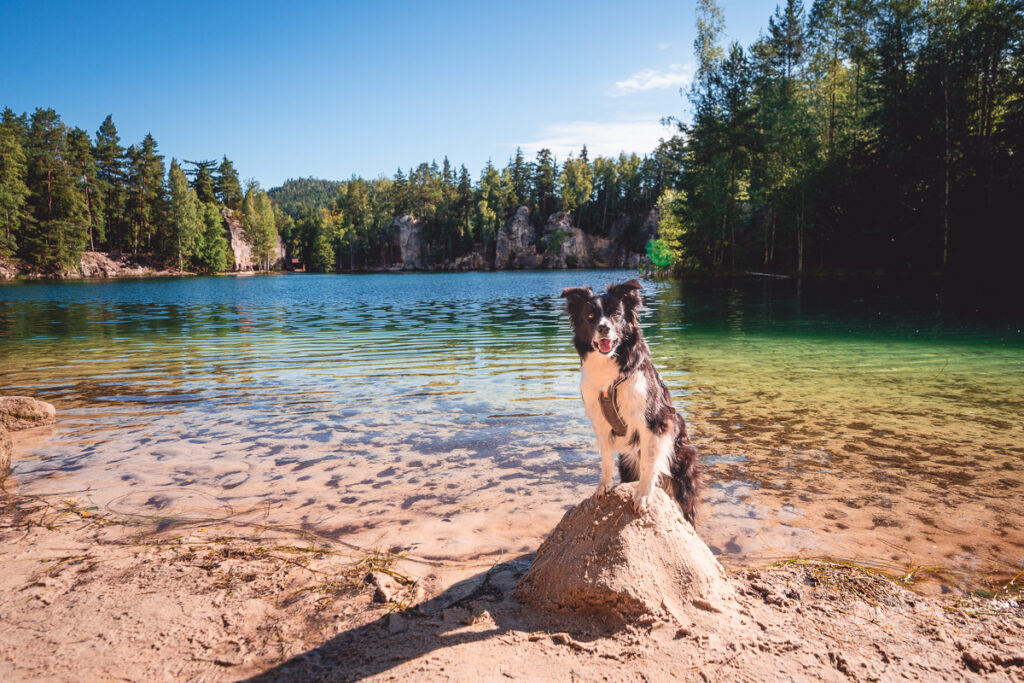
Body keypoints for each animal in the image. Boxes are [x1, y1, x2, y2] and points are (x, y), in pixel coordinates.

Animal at [565, 280, 700, 528]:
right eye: (590, 316)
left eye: (616, 314)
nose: (603, 328)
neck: (610, 371)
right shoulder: (600, 423)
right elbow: (606, 456)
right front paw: (604, 485)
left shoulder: (654, 423)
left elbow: (649, 464)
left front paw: (643, 496)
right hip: (628, 464)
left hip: (683, 466)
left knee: (689, 510)